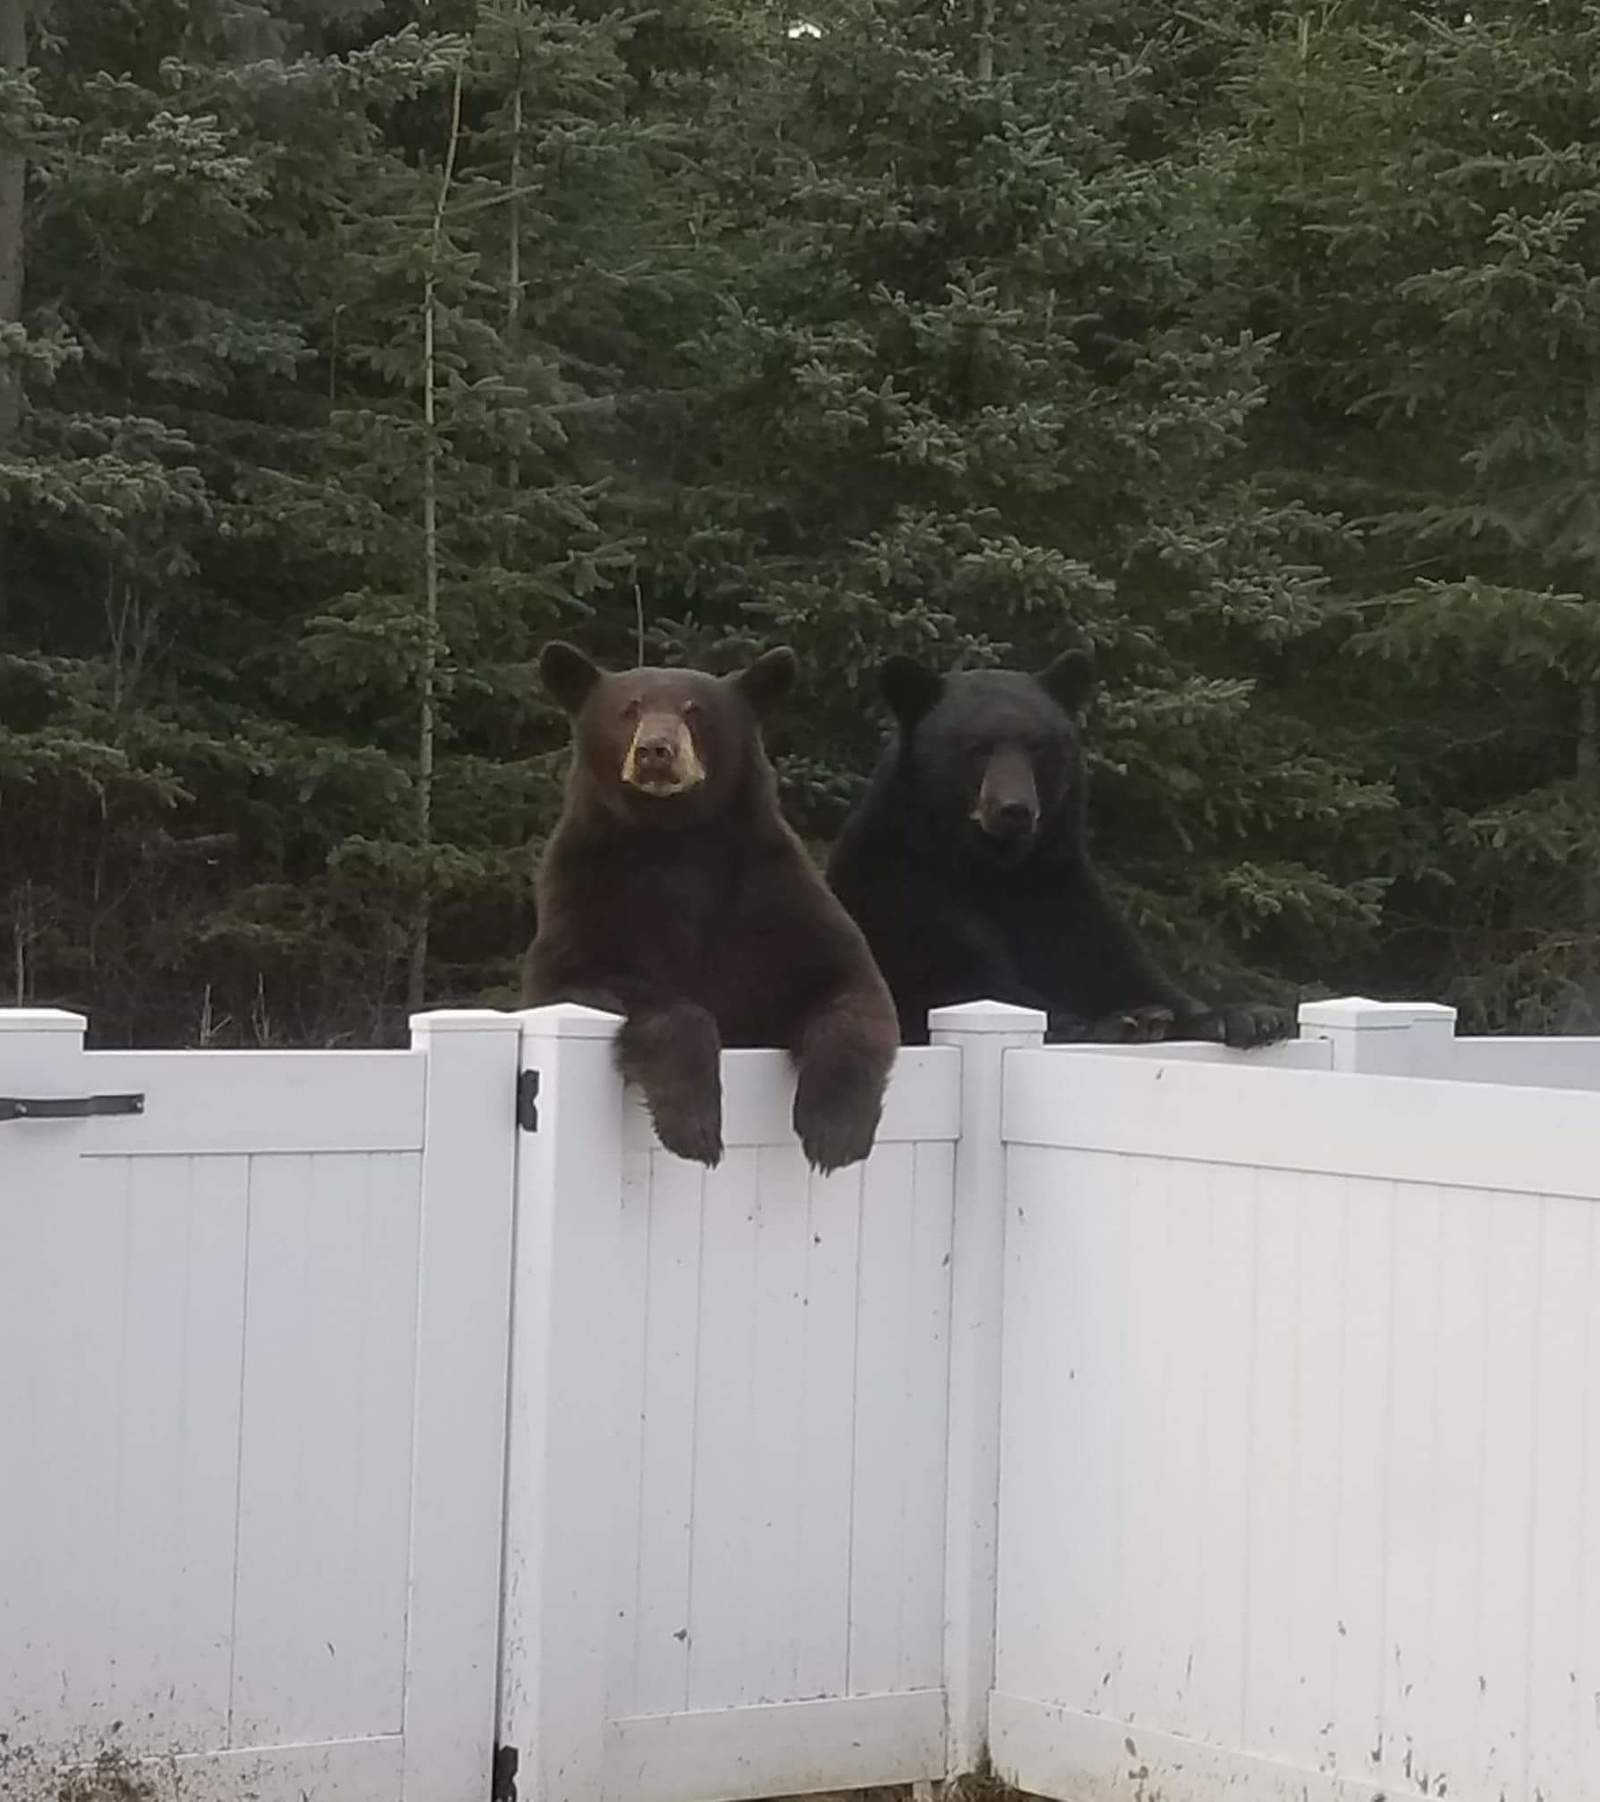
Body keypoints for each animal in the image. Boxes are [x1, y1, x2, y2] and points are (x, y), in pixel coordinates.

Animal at [526, 641, 900, 1174]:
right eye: (629, 708)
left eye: (694, 710)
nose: (655, 751)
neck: (676, 837)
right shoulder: (585, 894)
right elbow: (598, 983)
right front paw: (695, 1128)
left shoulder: (774, 894)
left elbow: (851, 985)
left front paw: (836, 1132)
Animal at [825, 655, 1290, 1052]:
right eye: (977, 747)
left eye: (1037, 745)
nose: (1014, 808)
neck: (992, 869)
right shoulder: (902, 894)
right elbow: (962, 979)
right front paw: (1119, 1021)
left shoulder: (1058, 890)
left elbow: (1116, 966)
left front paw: (1249, 1016)